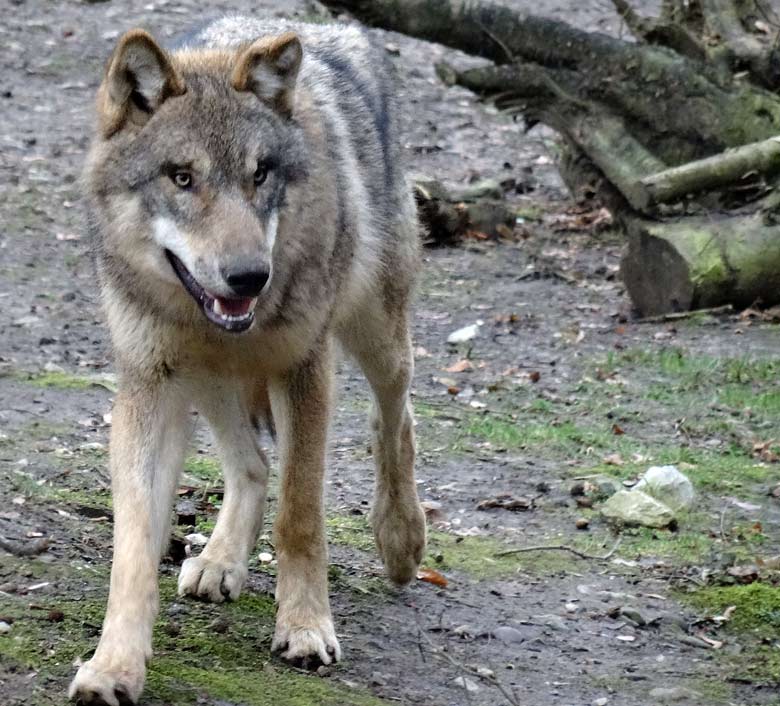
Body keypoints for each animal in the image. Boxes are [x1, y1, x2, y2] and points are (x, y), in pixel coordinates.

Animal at [68, 17, 426, 704]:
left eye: (260, 174)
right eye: (182, 177)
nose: (249, 277)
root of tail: (329, 29)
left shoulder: (305, 370)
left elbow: (301, 516)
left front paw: (306, 629)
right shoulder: (150, 388)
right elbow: (134, 547)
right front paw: (113, 666)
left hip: (377, 336)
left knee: (394, 417)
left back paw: (400, 538)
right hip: (206, 380)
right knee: (253, 463)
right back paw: (219, 560)